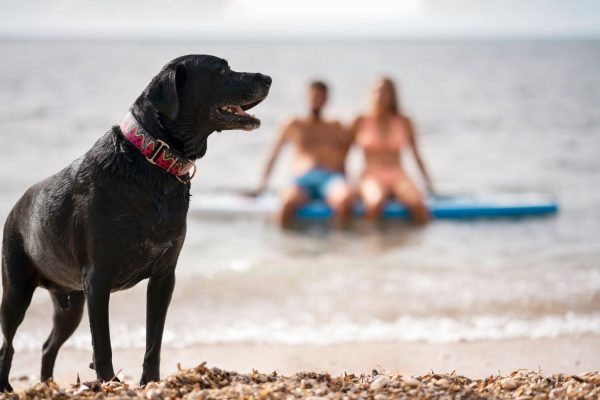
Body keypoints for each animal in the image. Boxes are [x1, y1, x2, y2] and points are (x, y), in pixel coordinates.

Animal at [0, 54, 271, 391]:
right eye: (222, 71)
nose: (268, 78)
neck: (153, 162)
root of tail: (15, 207)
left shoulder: (164, 277)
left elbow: (154, 338)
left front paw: (150, 381)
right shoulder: (98, 280)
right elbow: (102, 343)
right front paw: (109, 383)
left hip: (71, 303)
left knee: (48, 346)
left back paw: (48, 385)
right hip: (16, 291)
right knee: (8, 344)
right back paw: (7, 385)